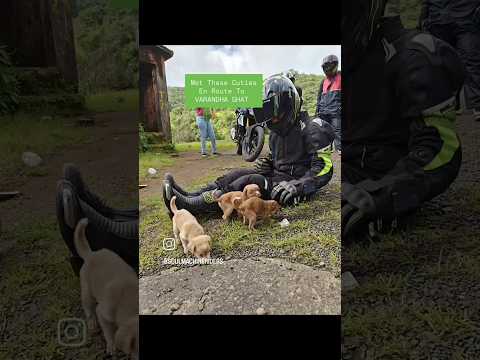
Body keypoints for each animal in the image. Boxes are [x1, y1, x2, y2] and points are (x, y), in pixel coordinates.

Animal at [74, 218, 139, 358]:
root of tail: (91, 254)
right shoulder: (103, 313)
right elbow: (109, 332)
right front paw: (111, 346)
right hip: (87, 292)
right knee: (88, 308)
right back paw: (92, 324)